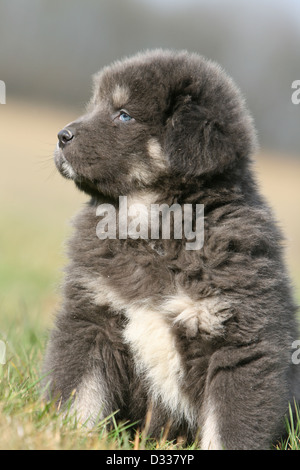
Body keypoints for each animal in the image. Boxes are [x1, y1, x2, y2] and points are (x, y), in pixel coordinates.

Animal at [42, 49, 300, 450]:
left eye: (124, 114)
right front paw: (66, 436)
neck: (153, 232)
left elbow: (228, 427)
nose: (61, 135)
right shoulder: (91, 318)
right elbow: (80, 393)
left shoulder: (238, 346)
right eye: (95, 104)